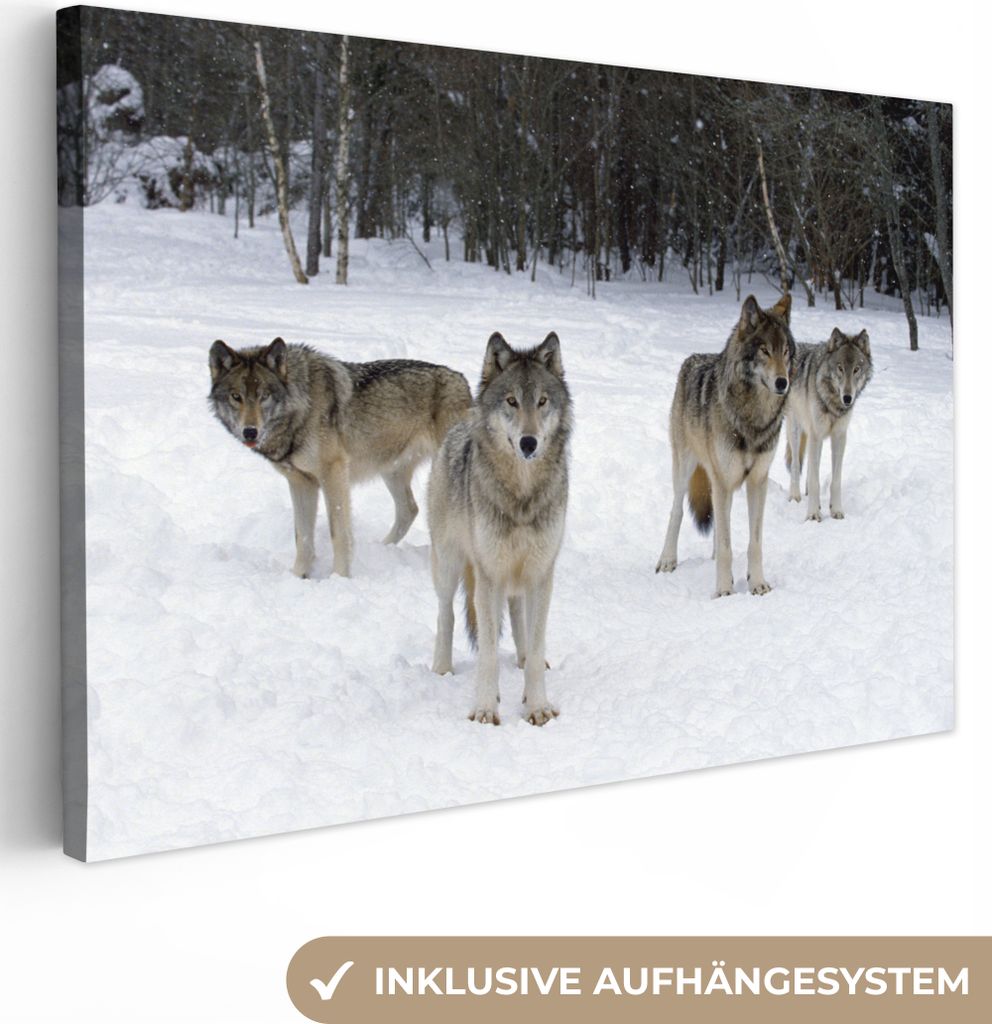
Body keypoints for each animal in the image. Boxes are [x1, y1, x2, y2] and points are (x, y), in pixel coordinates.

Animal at [208, 337, 472, 578]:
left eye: (264, 396)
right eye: (236, 396)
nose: (250, 431)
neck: (301, 407)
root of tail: (462, 380)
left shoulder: (333, 474)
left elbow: (339, 534)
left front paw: (340, 577)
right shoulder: (300, 482)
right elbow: (302, 537)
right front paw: (298, 576)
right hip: (391, 471)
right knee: (409, 509)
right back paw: (381, 549)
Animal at [428, 332, 572, 726]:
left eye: (542, 401)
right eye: (511, 401)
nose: (528, 442)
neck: (521, 494)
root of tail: (461, 422)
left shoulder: (541, 572)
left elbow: (536, 649)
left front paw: (537, 706)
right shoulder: (488, 573)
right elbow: (489, 652)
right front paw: (485, 708)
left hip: (516, 575)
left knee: (518, 615)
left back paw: (519, 662)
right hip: (449, 565)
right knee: (446, 613)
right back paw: (442, 669)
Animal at [655, 294, 795, 597]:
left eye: (785, 352)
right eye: (764, 351)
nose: (783, 382)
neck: (753, 418)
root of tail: (692, 358)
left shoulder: (757, 481)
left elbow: (754, 542)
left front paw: (757, 583)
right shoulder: (723, 480)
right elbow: (727, 546)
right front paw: (723, 591)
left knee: (720, 526)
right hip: (687, 469)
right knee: (677, 511)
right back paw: (667, 560)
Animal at [785, 327, 873, 521]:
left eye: (856, 369)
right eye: (840, 368)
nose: (847, 398)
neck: (833, 403)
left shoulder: (839, 436)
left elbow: (835, 479)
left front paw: (836, 510)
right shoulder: (816, 434)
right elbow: (814, 479)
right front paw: (812, 514)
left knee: (812, 466)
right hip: (796, 429)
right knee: (795, 464)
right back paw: (795, 496)